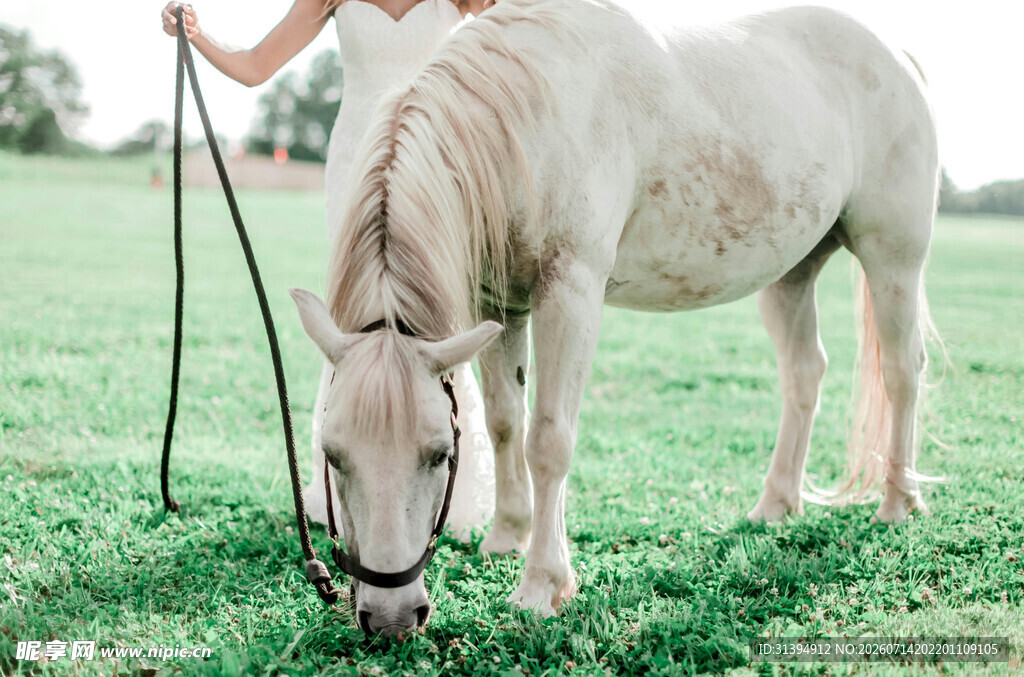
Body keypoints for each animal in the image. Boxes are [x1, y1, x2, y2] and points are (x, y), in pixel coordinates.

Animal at [289, 0, 939, 633]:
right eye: (332, 455)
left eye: (439, 455)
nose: (390, 618)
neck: (525, 116)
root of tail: (898, 55)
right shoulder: (500, 306)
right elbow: (504, 423)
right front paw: (507, 536)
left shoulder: (571, 291)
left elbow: (548, 439)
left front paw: (541, 586)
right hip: (791, 276)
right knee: (805, 373)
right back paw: (776, 505)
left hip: (893, 260)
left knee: (903, 372)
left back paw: (897, 503)